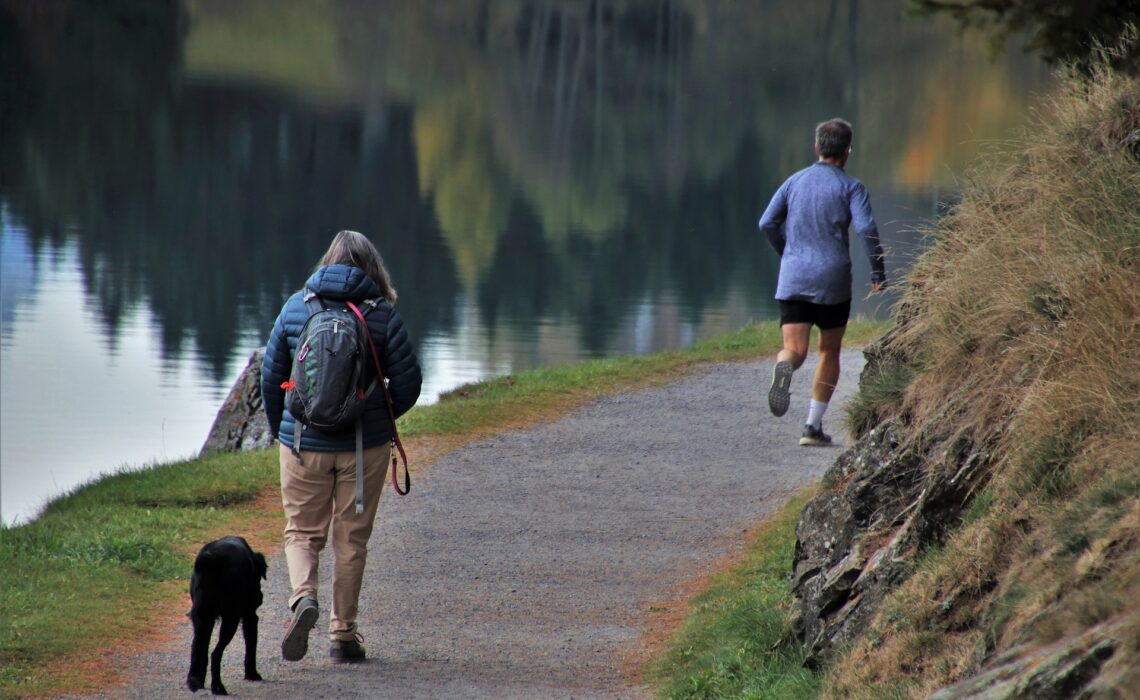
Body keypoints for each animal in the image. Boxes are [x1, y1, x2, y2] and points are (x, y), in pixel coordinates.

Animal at [186, 538, 266, 697]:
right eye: (259, 576)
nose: (260, 597)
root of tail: (208, 560)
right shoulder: (250, 616)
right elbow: (251, 646)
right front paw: (252, 674)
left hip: (202, 617)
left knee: (198, 648)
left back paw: (195, 681)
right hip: (230, 618)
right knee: (215, 654)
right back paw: (218, 687)